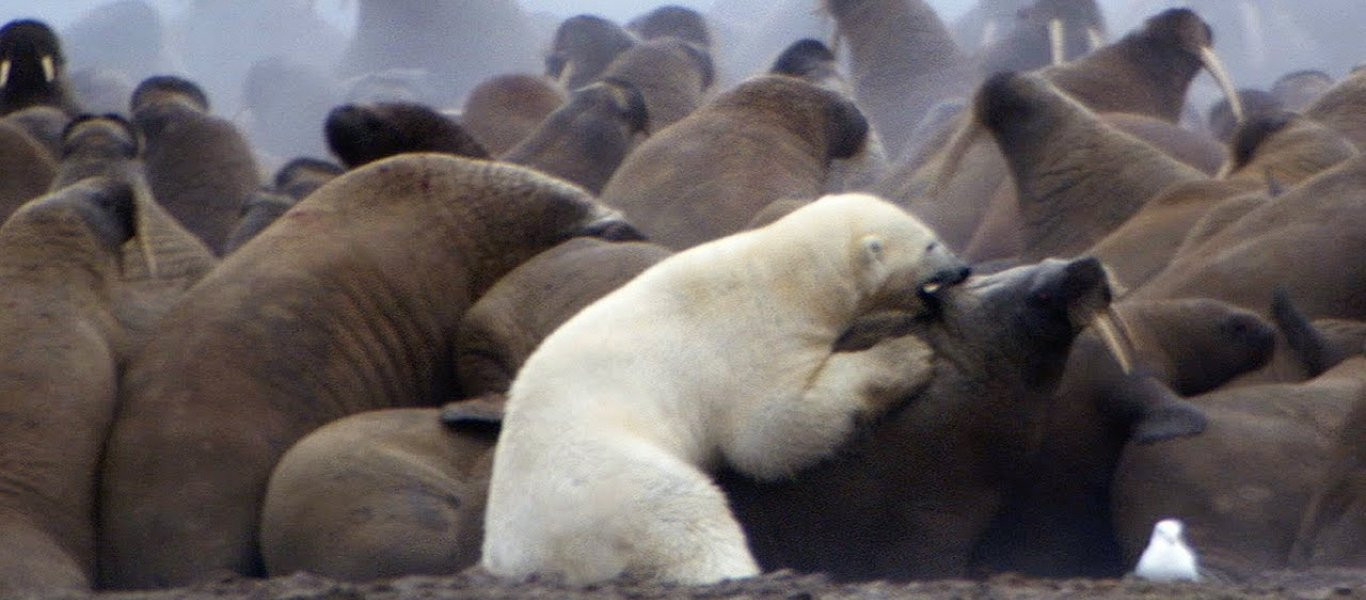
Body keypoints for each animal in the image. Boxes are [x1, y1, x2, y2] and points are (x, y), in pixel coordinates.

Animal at [480, 194, 972, 587]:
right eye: (931, 244)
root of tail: (511, 553)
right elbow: (770, 432)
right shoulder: (748, 338)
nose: (964, 267)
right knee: (679, 509)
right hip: (595, 483)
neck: (786, 276)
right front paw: (908, 356)